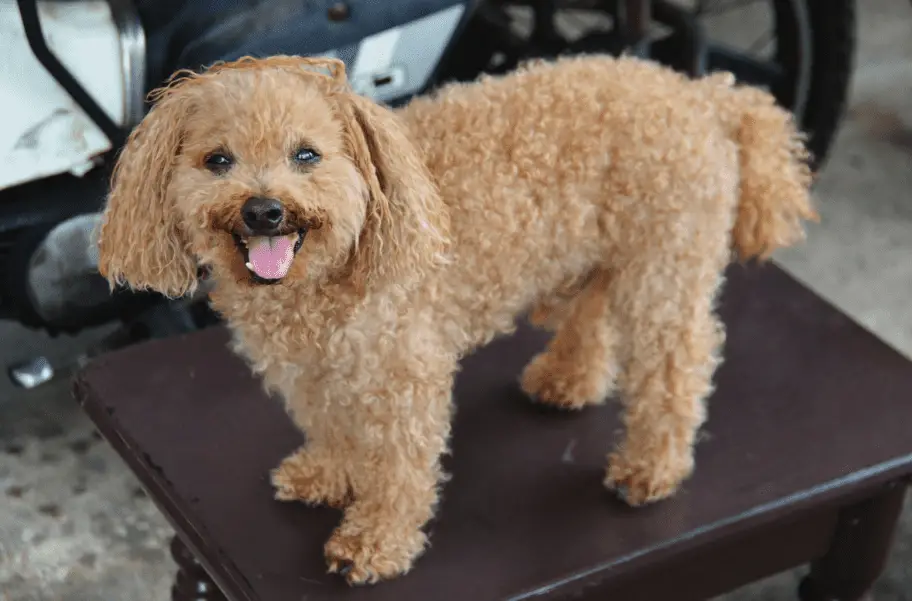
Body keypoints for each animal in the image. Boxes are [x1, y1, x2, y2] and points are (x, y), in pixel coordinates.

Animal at [96, 55, 816, 580]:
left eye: (306, 154)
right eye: (217, 160)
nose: (264, 210)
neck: (322, 282)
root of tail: (702, 94)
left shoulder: (403, 375)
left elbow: (399, 467)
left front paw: (376, 541)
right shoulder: (319, 371)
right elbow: (333, 427)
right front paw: (328, 474)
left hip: (664, 267)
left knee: (676, 368)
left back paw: (651, 468)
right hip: (599, 255)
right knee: (594, 313)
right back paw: (568, 378)